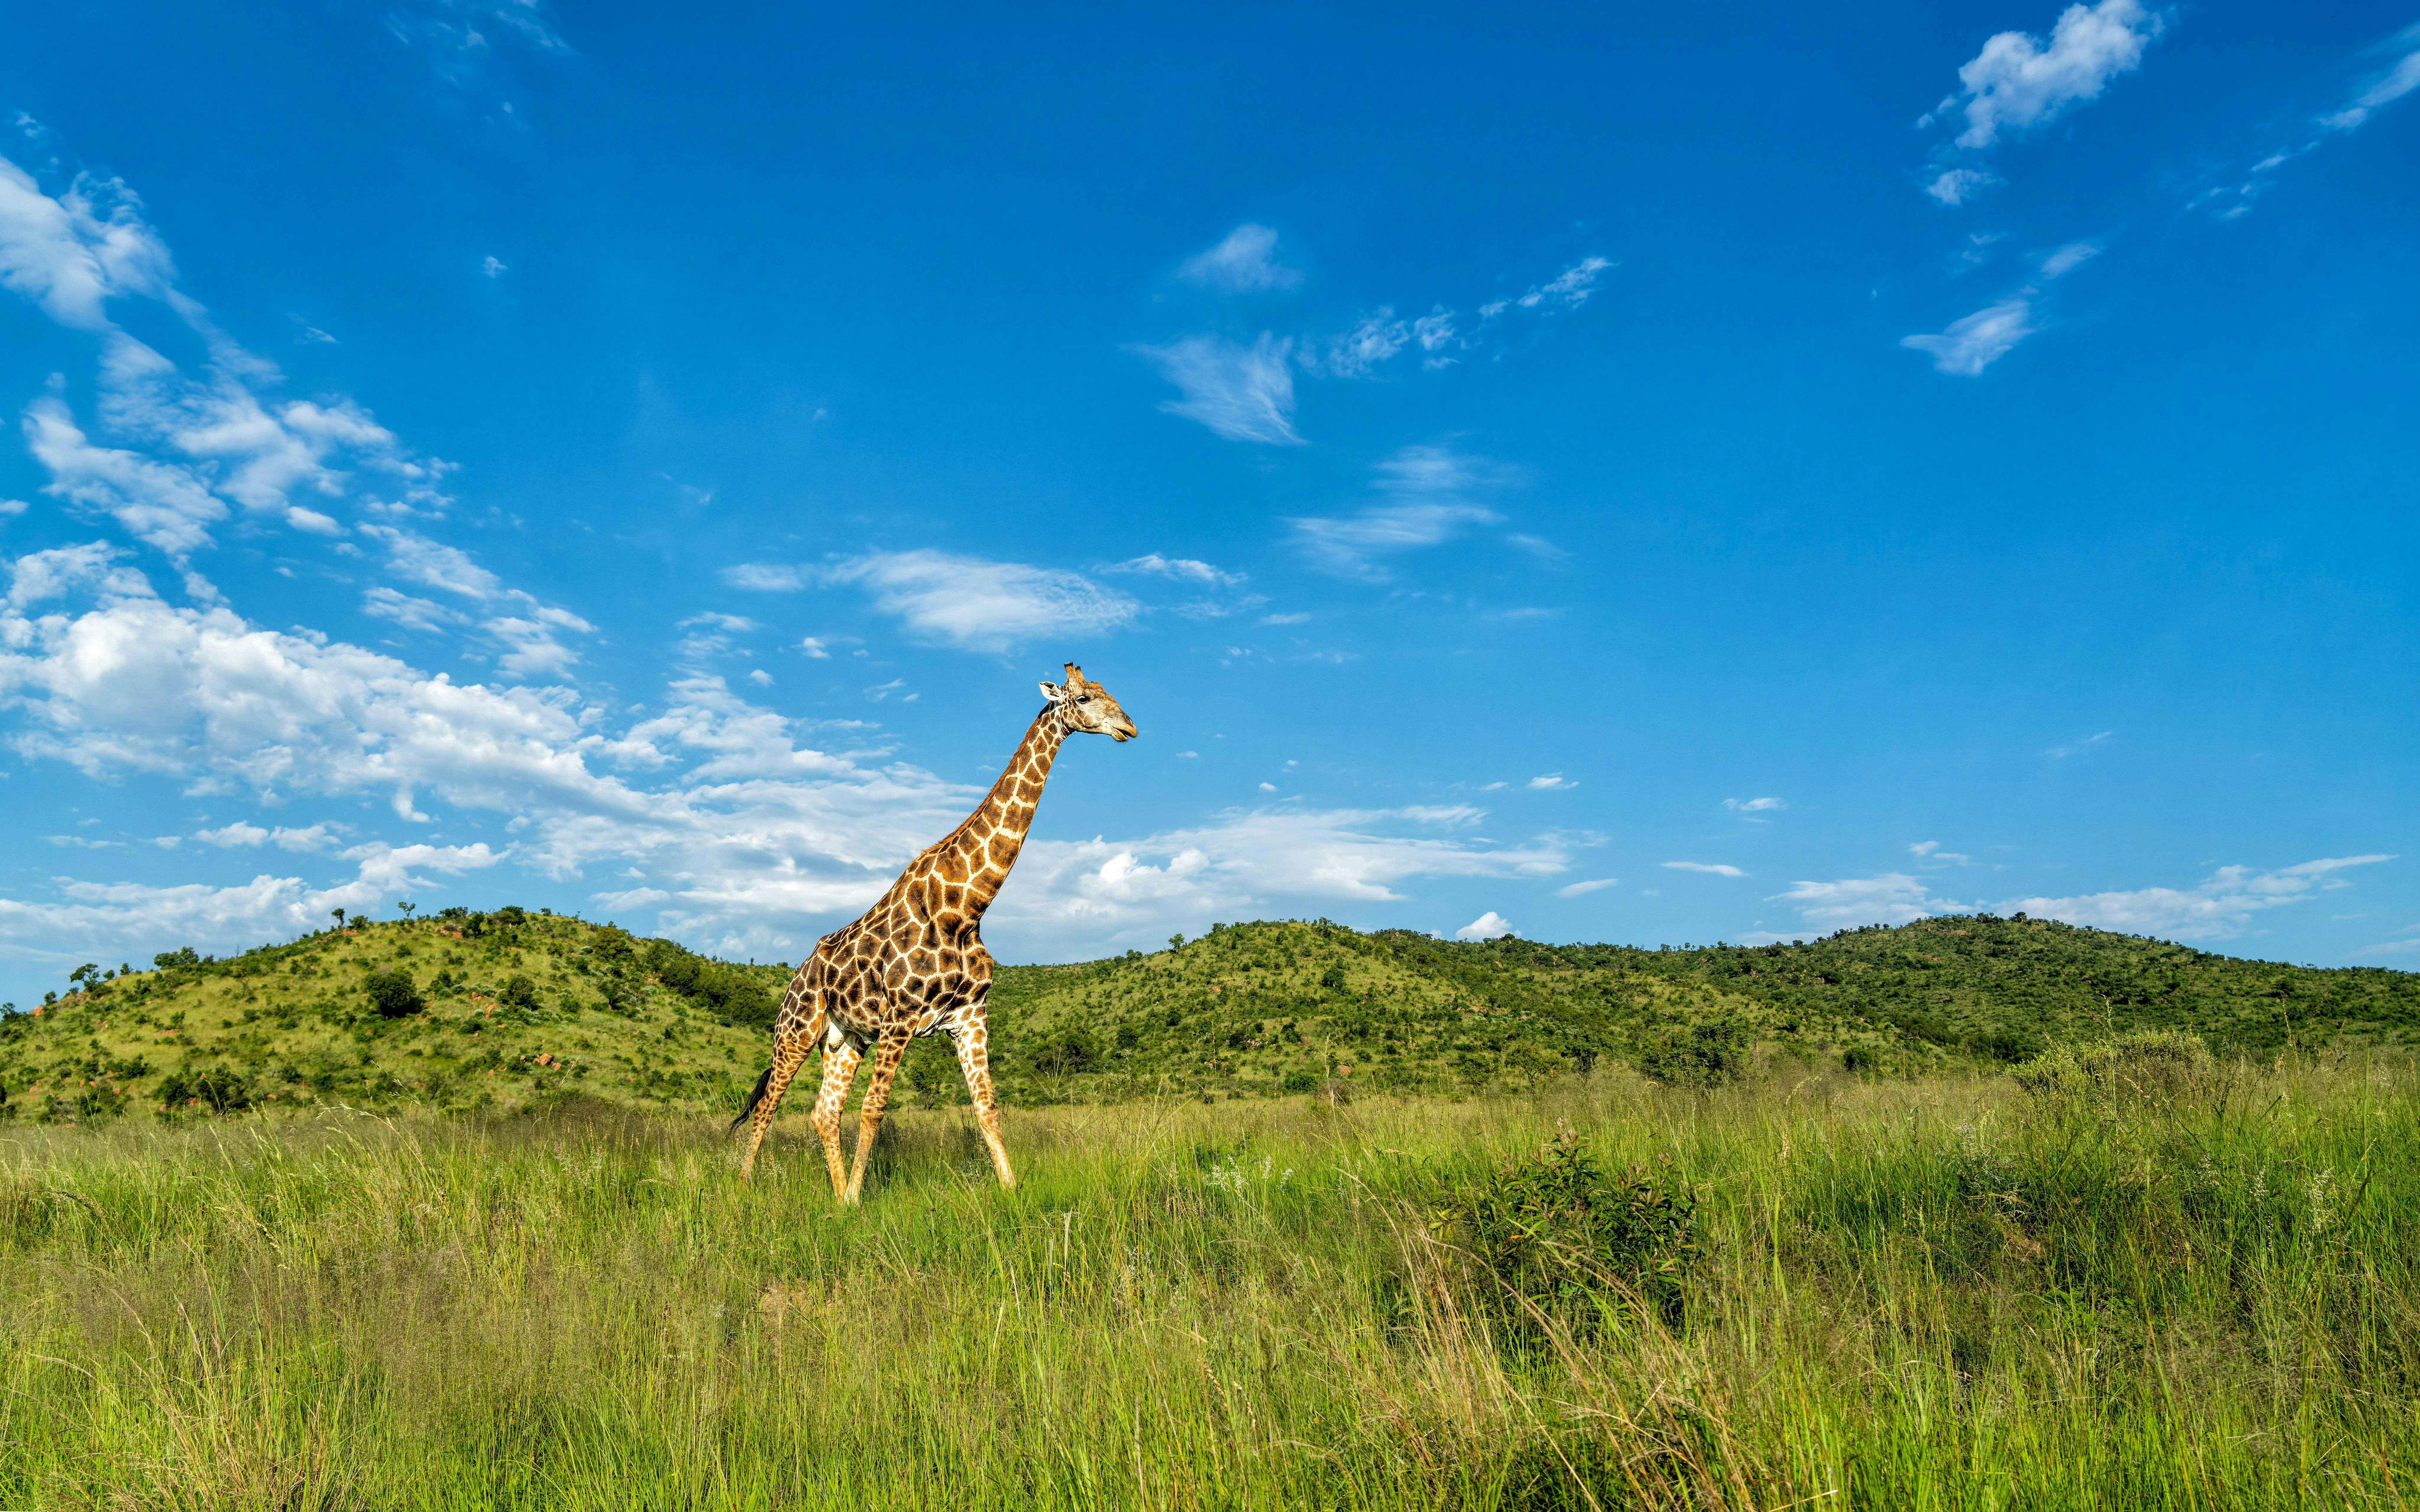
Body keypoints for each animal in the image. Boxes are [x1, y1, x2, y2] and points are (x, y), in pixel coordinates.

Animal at [731, 662, 1138, 1202]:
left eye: (1109, 691)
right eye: (1085, 697)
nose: (1129, 727)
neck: (965, 908)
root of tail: (796, 979)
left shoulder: (970, 1016)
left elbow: (987, 1108)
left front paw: (1011, 1193)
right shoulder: (900, 1017)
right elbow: (875, 1111)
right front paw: (859, 1201)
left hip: (844, 1040)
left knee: (823, 1113)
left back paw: (834, 1198)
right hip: (796, 1032)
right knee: (767, 1107)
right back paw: (744, 1188)